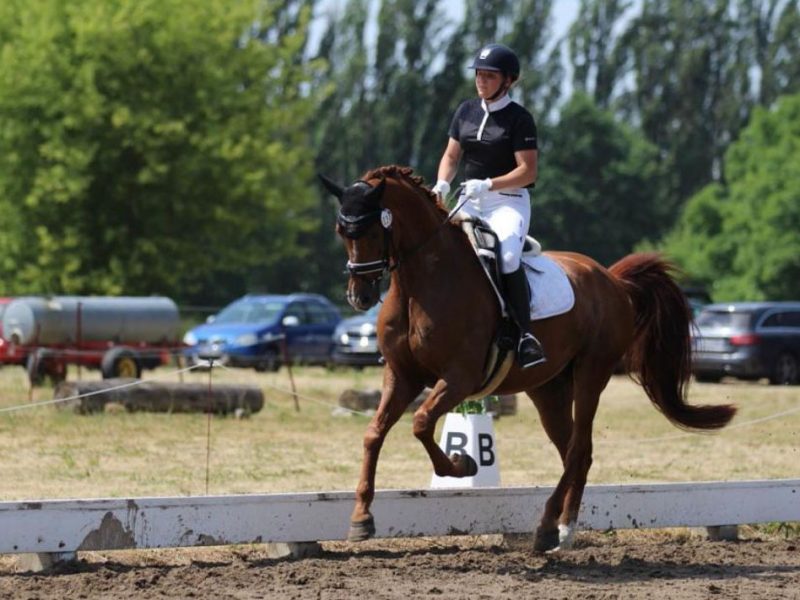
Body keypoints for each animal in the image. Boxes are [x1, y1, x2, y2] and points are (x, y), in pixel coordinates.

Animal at [318, 165, 736, 552]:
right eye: (341, 232)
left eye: (372, 231)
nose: (359, 297)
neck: (420, 284)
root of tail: (611, 278)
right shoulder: (402, 375)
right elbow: (374, 433)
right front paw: (361, 518)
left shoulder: (459, 378)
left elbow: (421, 423)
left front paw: (462, 465)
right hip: (548, 389)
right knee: (574, 452)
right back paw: (553, 528)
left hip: (591, 374)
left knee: (579, 448)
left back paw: (560, 530)